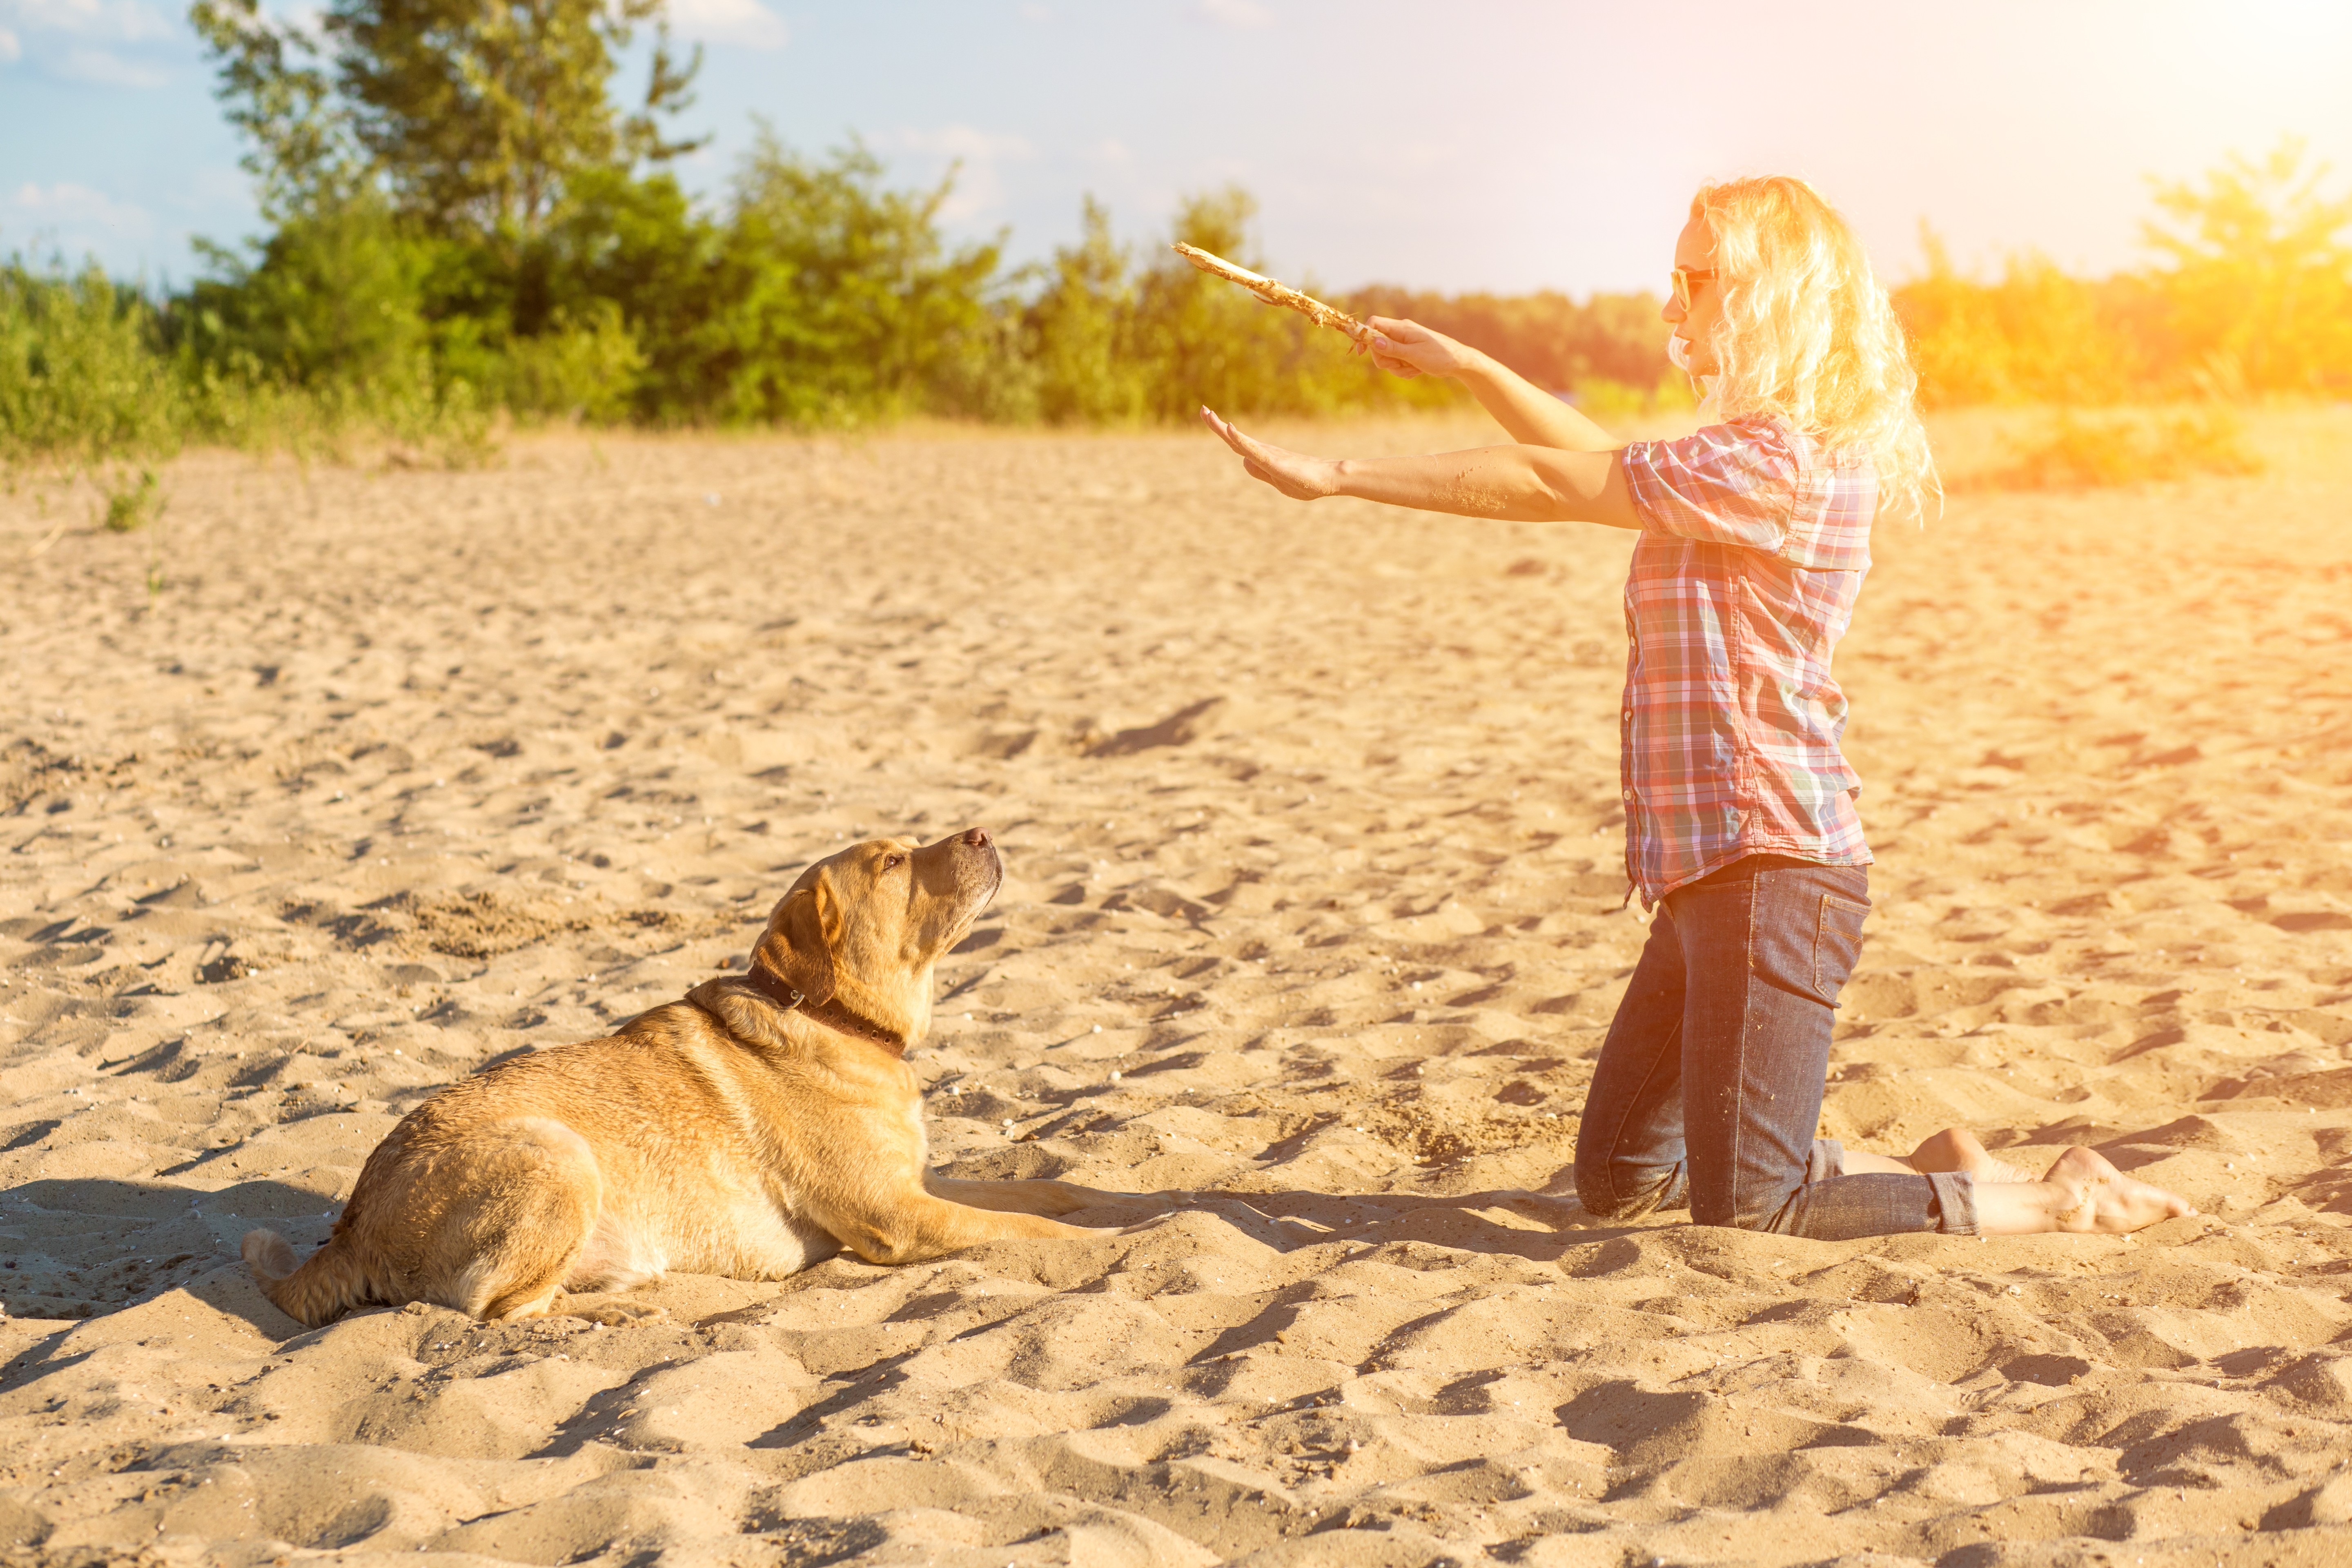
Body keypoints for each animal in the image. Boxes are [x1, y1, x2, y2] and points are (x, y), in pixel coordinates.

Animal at [243, 827, 1124, 1335]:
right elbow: (1037, 1231)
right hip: (557, 1153)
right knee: (496, 1307)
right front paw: (1123, 1243)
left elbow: (1049, 1193)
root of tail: (352, 1226)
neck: (832, 1017)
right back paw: (620, 1304)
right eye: (893, 863)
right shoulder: (898, 1216)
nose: (981, 827)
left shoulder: (923, 1185)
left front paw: (1135, 1206)